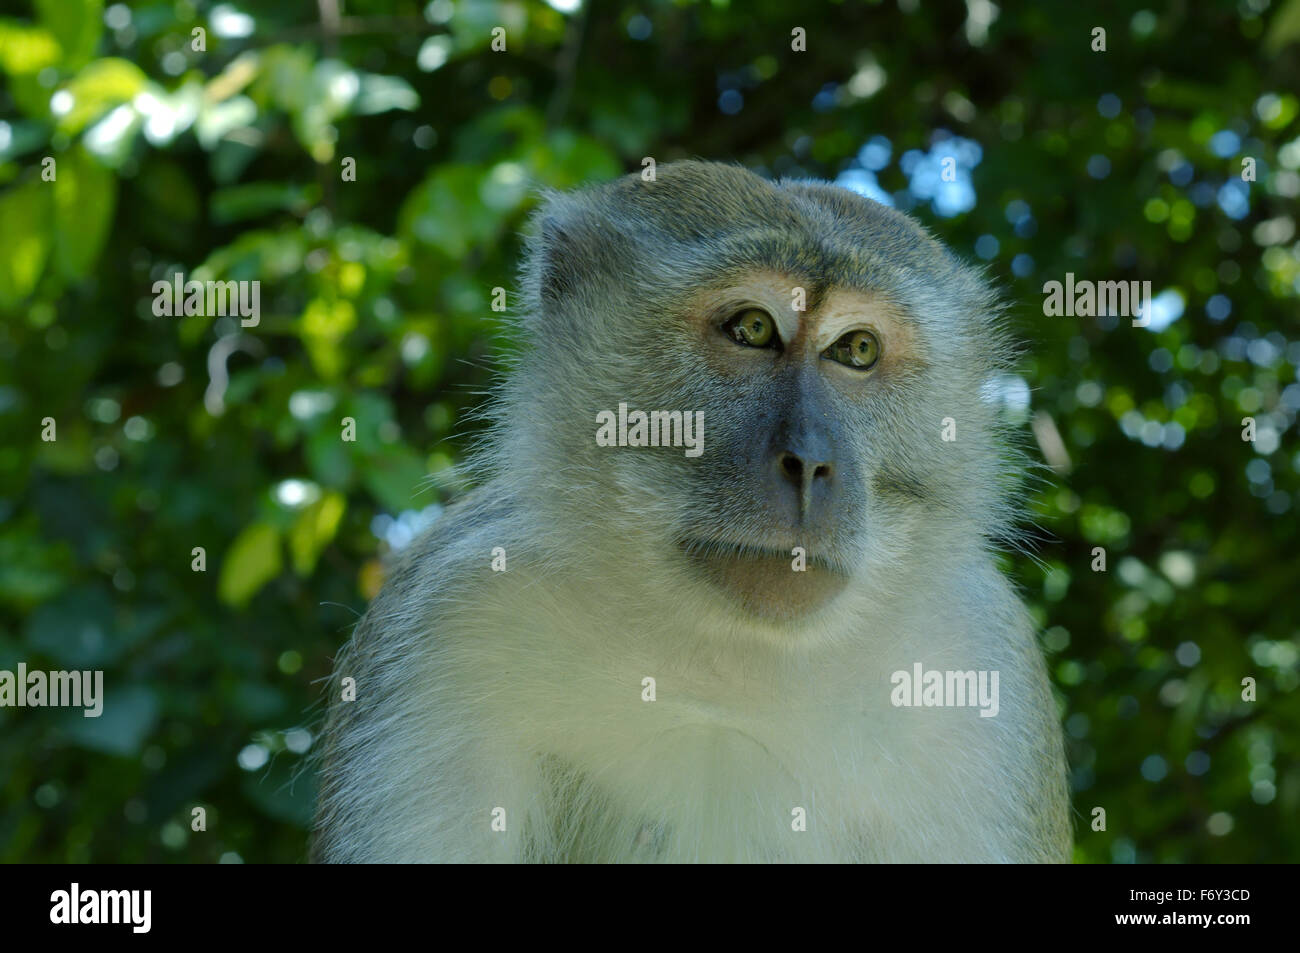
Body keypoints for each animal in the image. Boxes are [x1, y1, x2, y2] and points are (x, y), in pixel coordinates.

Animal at [311, 160, 1072, 863]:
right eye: (752, 328)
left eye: (857, 349)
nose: (809, 462)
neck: (728, 659)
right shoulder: (451, 619)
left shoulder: (979, 663)